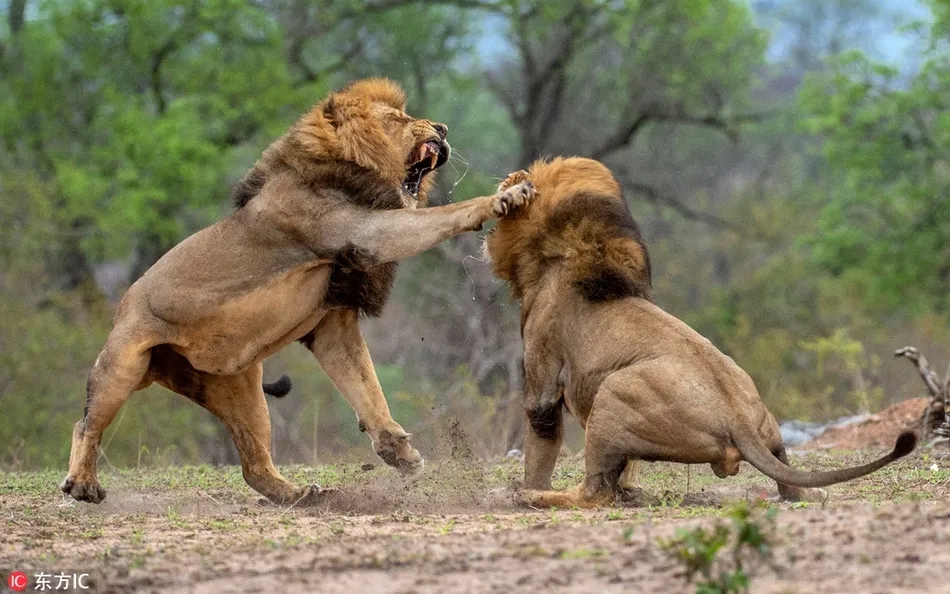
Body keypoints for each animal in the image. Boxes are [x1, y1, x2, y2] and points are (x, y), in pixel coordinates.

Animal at [60, 77, 536, 504]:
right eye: (399, 119)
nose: (443, 128)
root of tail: (121, 307)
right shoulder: (369, 232)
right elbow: (447, 214)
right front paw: (506, 195)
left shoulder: (333, 325)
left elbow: (367, 389)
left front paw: (398, 452)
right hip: (123, 362)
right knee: (85, 425)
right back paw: (82, 484)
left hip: (242, 390)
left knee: (253, 465)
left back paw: (297, 494)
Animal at [488, 155, 920, 506]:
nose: (506, 183)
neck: (561, 254)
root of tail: (740, 420)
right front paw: (627, 487)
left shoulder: (543, 379)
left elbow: (540, 442)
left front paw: (532, 484)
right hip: (767, 429)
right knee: (792, 484)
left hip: (613, 393)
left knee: (593, 494)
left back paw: (534, 497)